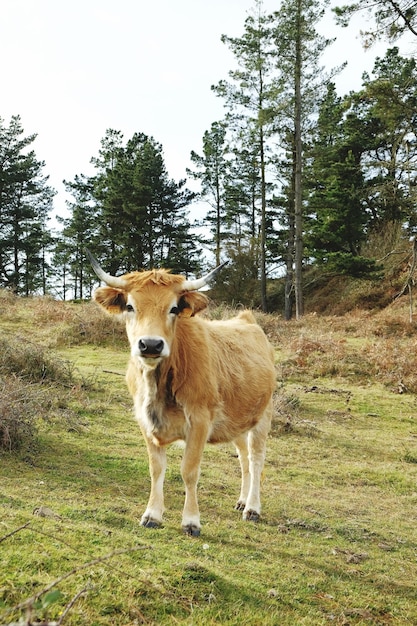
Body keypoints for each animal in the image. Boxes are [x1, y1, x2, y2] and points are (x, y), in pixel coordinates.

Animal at [88, 251, 276, 532]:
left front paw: (191, 521)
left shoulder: (199, 421)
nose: (150, 344)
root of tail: (247, 320)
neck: (157, 385)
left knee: (256, 459)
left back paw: (252, 508)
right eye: (130, 306)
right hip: (238, 419)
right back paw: (242, 501)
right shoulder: (145, 421)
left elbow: (189, 470)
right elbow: (156, 469)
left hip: (263, 416)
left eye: (174, 308)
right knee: (243, 458)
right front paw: (152, 515)